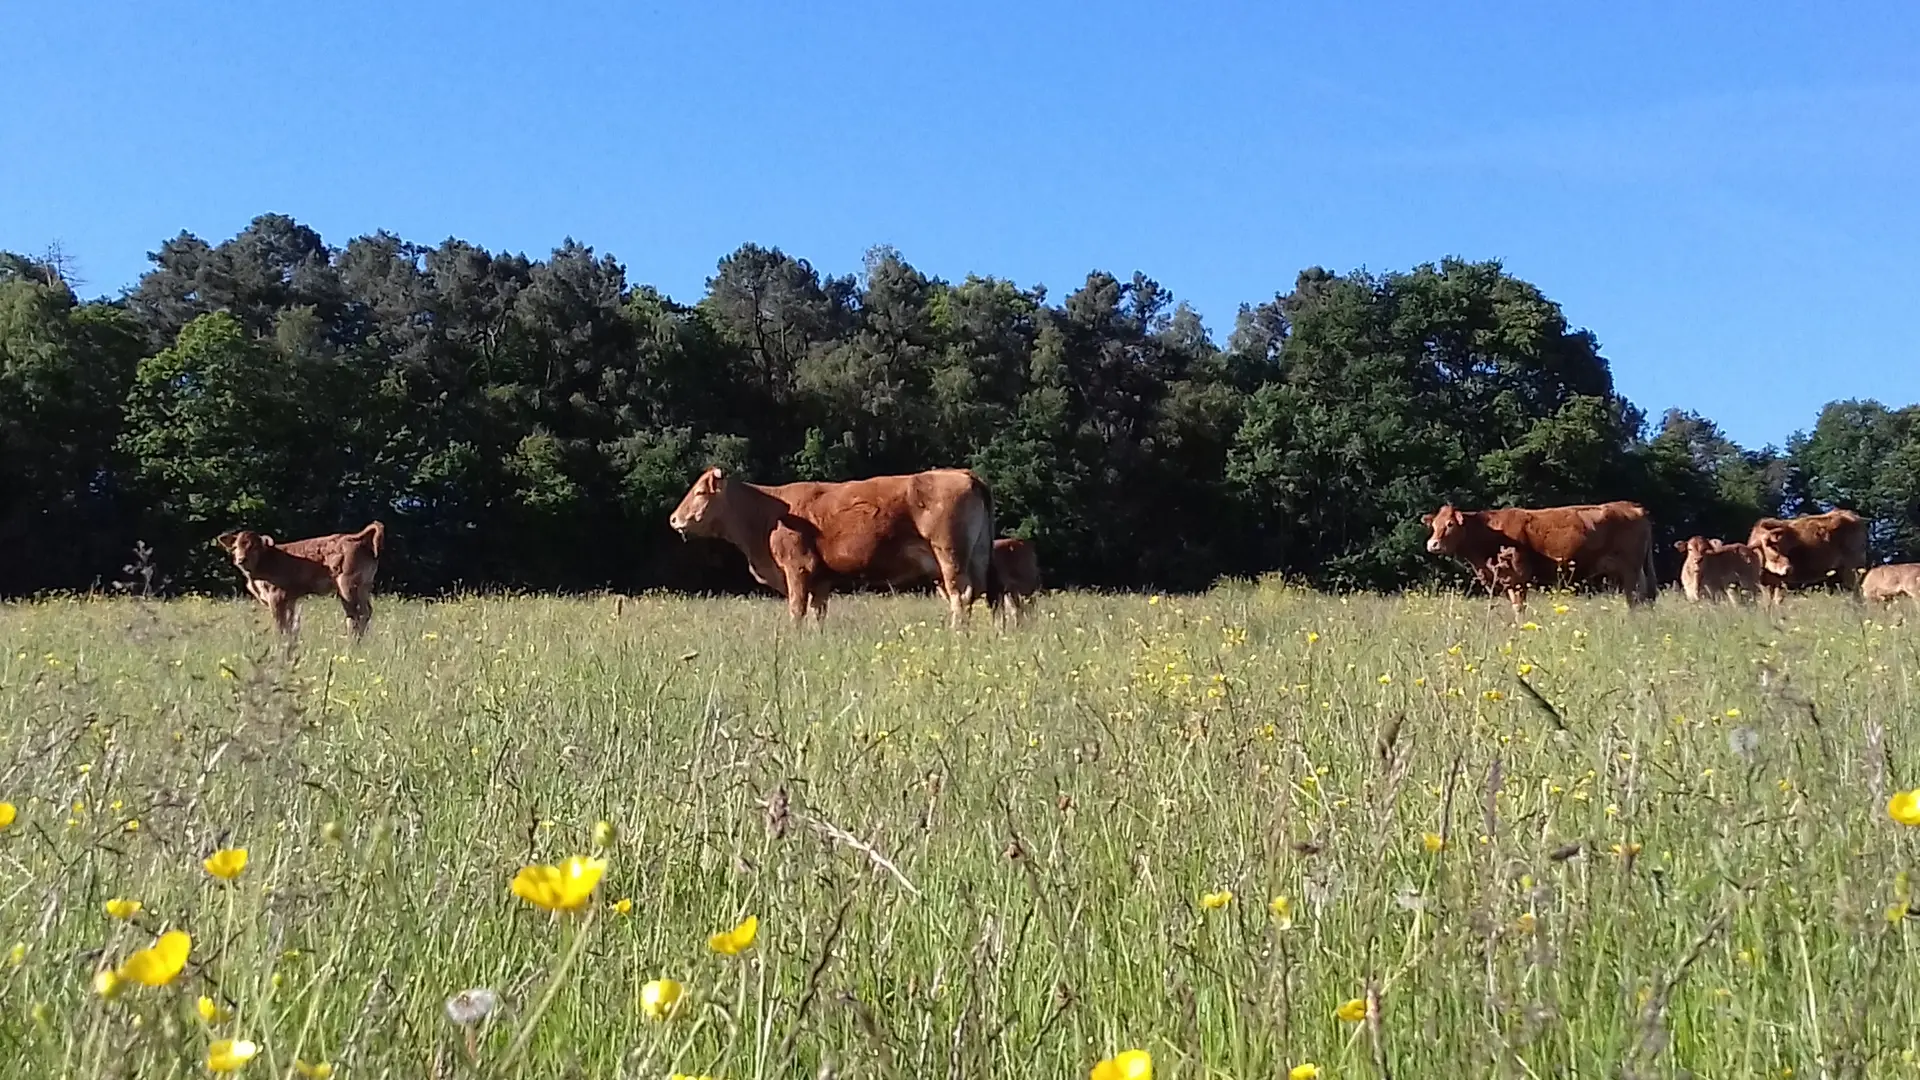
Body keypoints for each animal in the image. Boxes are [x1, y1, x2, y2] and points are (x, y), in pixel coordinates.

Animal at [216, 522, 384, 638]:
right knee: (365, 612)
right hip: (363, 587)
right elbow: (290, 625)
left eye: (254, 547)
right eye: (235, 547)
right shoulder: (290, 599)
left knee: (356, 615)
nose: (241, 559)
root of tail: (355, 538)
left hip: (347, 586)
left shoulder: (276, 597)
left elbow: (280, 624)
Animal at [668, 463, 998, 622]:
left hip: (949, 555)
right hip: (975, 556)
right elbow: (818, 613)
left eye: (700, 492)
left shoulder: (798, 569)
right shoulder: (821, 579)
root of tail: (962, 474)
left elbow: (797, 611)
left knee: (961, 596)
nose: (673, 519)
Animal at [1420, 499, 1658, 599]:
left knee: (1636, 597)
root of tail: (1632, 506)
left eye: (1450, 524)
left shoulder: (1517, 578)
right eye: (1434, 525)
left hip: (1630, 568)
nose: (1432, 544)